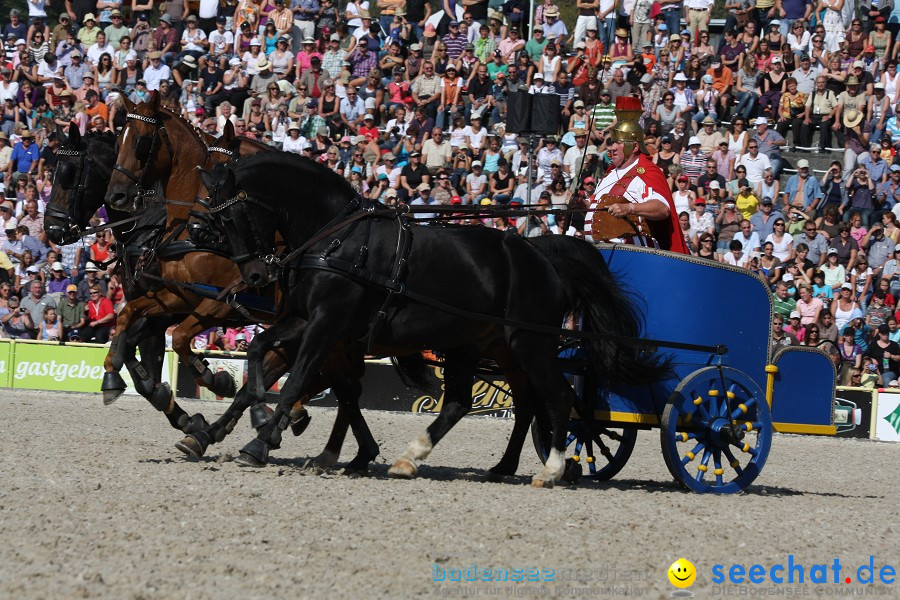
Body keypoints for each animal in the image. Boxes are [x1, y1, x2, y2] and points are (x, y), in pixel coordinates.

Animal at [202, 155, 668, 488]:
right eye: (216, 221)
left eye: (231, 218)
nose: (255, 276)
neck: (338, 238)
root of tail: (541, 253)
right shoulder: (307, 320)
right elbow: (259, 351)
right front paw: (259, 416)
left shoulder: (327, 324)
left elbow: (298, 380)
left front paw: (263, 438)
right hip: (476, 345)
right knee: (475, 403)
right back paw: (426, 458)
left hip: (529, 344)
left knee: (556, 399)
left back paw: (551, 469)